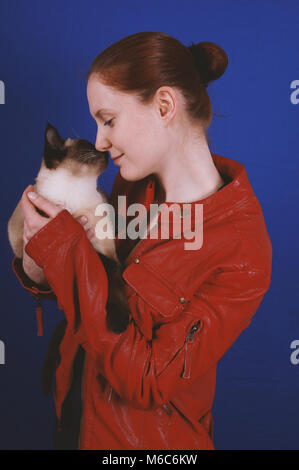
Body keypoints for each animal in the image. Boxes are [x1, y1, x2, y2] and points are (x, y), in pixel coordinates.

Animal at [7, 123, 130, 394]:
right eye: (89, 146)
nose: (104, 149)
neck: (78, 193)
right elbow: (102, 269)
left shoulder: (109, 249)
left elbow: (114, 280)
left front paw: (120, 322)